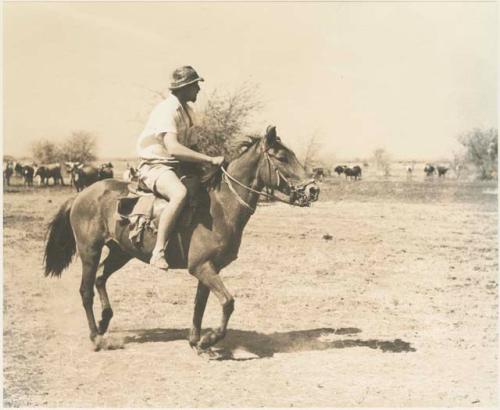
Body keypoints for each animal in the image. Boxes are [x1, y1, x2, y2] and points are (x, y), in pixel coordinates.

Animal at [42, 127, 316, 356]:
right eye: (282, 157)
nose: (313, 190)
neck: (220, 207)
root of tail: (81, 196)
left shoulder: (208, 268)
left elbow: (200, 305)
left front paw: (197, 342)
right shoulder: (201, 267)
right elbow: (227, 303)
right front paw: (209, 339)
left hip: (122, 252)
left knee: (100, 277)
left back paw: (104, 321)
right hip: (90, 251)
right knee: (86, 290)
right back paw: (96, 337)